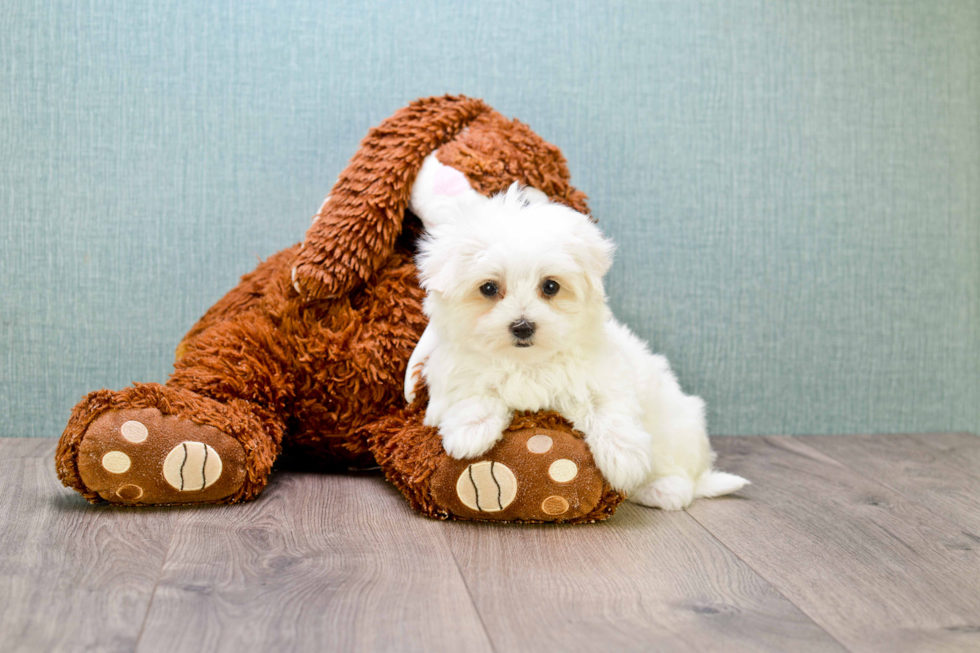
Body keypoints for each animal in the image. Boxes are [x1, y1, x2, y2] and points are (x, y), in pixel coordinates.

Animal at [406, 180, 752, 510]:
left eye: (550, 286)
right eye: (489, 288)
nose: (522, 326)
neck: (528, 362)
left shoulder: (607, 375)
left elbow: (610, 408)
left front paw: (623, 459)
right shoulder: (457, 373)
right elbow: (474, 394)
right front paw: (470, 433)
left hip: (677, 425)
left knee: (683, 475)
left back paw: (662, 488)